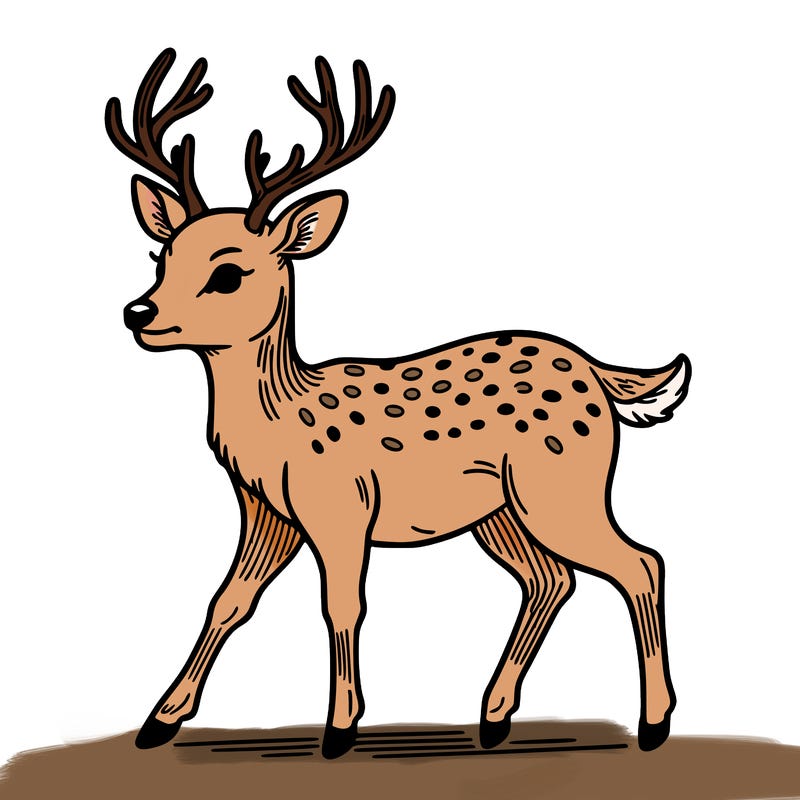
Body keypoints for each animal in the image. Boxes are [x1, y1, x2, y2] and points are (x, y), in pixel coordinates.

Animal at [106, 49, 691, 759]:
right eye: (160, 254)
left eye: (228, 272)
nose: (139, 313)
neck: (278, 424)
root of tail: (600, 374)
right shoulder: (267, 512)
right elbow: (230, 600)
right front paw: (160, 720)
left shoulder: (341, 506)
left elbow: (342, 605)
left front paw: (339, 729)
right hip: (501, 511)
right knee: (551, 579)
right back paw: (493, 717)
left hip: (561, 486)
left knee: (640, 563)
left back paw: (653, 724)